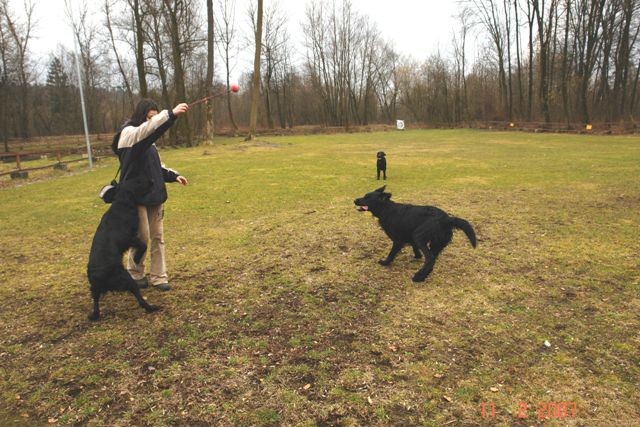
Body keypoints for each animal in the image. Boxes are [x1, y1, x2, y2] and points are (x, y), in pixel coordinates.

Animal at [87, 175, 159, 320]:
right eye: (138, 182)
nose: (152, 181)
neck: (122, 203)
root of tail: (100, 276)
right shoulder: (128, 238)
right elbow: (143, 245)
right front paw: (136, 259)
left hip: (95, 289)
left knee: (95, 302)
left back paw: (95, 315)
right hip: (128, 279)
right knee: (139, 298)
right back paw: (151, 308)